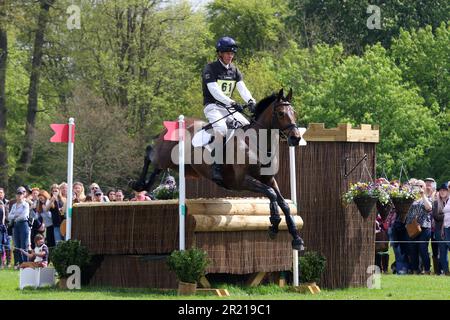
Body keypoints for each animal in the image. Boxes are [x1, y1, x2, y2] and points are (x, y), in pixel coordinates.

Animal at [132, 88, 304, 250]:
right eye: (281, 113)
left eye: (294, 113)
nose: (295, 138)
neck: (256, 143)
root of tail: (175, 123)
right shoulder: (241, 181)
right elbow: (271, 193)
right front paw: (274, 223)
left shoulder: (269, 179)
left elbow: (283, 202)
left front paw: (296, 238)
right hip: (166, 155)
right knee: (149, 153)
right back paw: (138, 184)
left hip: (177, 164)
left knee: (157, 168)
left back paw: (145, 185)